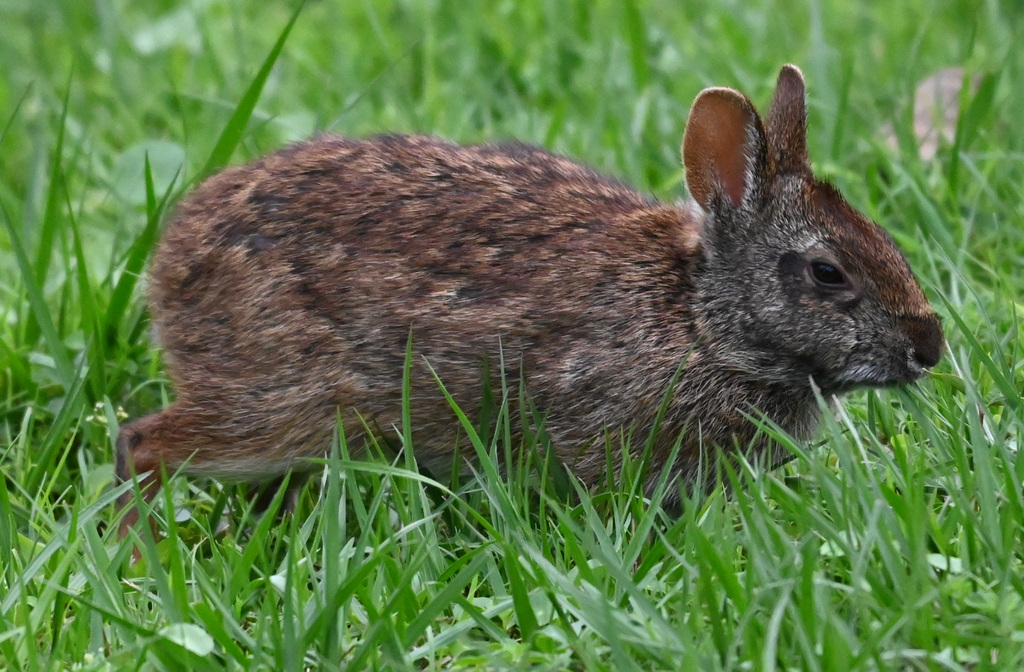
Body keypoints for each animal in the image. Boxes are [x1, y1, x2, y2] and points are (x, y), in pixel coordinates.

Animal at [116, 64, 943, 534]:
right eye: (827, 274)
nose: (929, 347)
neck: (699, 320)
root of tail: (172, 262)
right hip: (284, 402)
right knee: (144, 441)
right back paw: (137, 553)